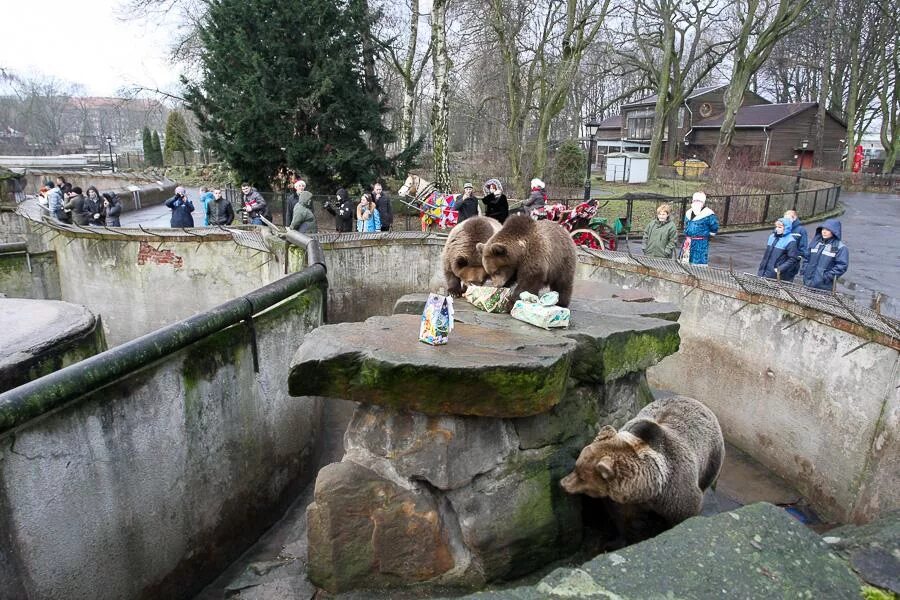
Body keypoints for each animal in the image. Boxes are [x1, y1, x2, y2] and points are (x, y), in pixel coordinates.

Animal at [560, 398, 728, 544]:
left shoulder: (677, 492)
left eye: (581, 476)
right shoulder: (625, 500)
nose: (563, 484)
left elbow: (684, 512)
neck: (649, 491)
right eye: (576, 466)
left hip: (712, 456)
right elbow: (625, 520)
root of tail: (695, 400)